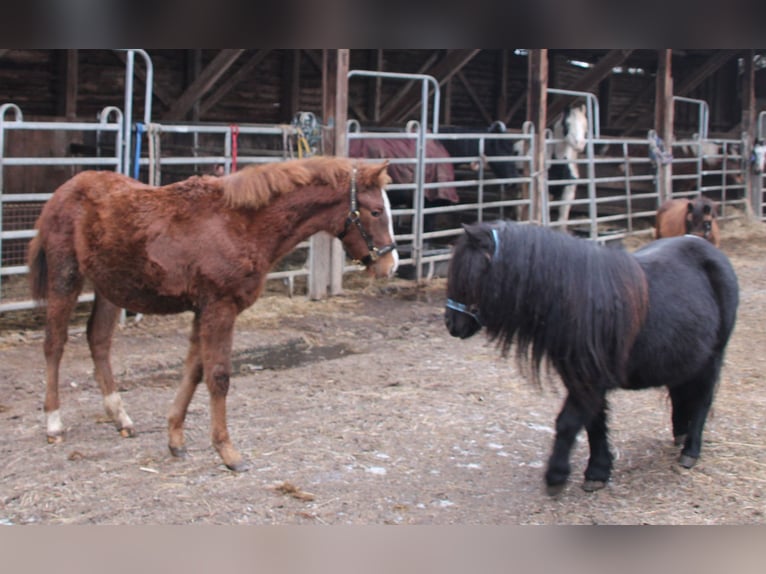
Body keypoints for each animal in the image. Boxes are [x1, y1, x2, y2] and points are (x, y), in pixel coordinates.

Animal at [28, 158, 402, 472]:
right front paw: (228, 451)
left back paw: (121, 418)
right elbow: (219, 377)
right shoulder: (220, 307)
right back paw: (54, 423)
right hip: (66, 276)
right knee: (54, 344)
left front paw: (175, 439)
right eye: (374, 211)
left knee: (99, 340)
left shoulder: (204, 309)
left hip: (110, 287)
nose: (390, 265)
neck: (241, 223)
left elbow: (194, 372)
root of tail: (64, 190)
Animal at [448, 223, 740, 498]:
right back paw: (680, 433)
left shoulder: (590, 383)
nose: (452, 325)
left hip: (713, 357)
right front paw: (598, 471)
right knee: (680, 393)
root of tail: (711, 251)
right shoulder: (581, 381)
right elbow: (594, 423)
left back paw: (690, 451)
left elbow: (568, 423)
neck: (579, 303)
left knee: (703, 400)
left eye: (469, 274)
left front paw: (556, 476)